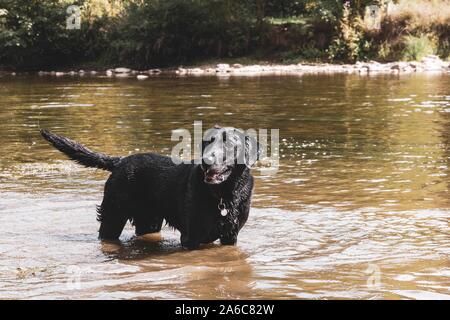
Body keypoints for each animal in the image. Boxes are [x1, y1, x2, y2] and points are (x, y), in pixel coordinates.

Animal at [42, 126, 260, 249]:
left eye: (229, 144)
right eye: (207, 142)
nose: (206, 161)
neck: (224, 194)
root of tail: (120, 161)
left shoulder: (230, 236)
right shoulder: (190, 237)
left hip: (149, 221)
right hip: (113, 216)